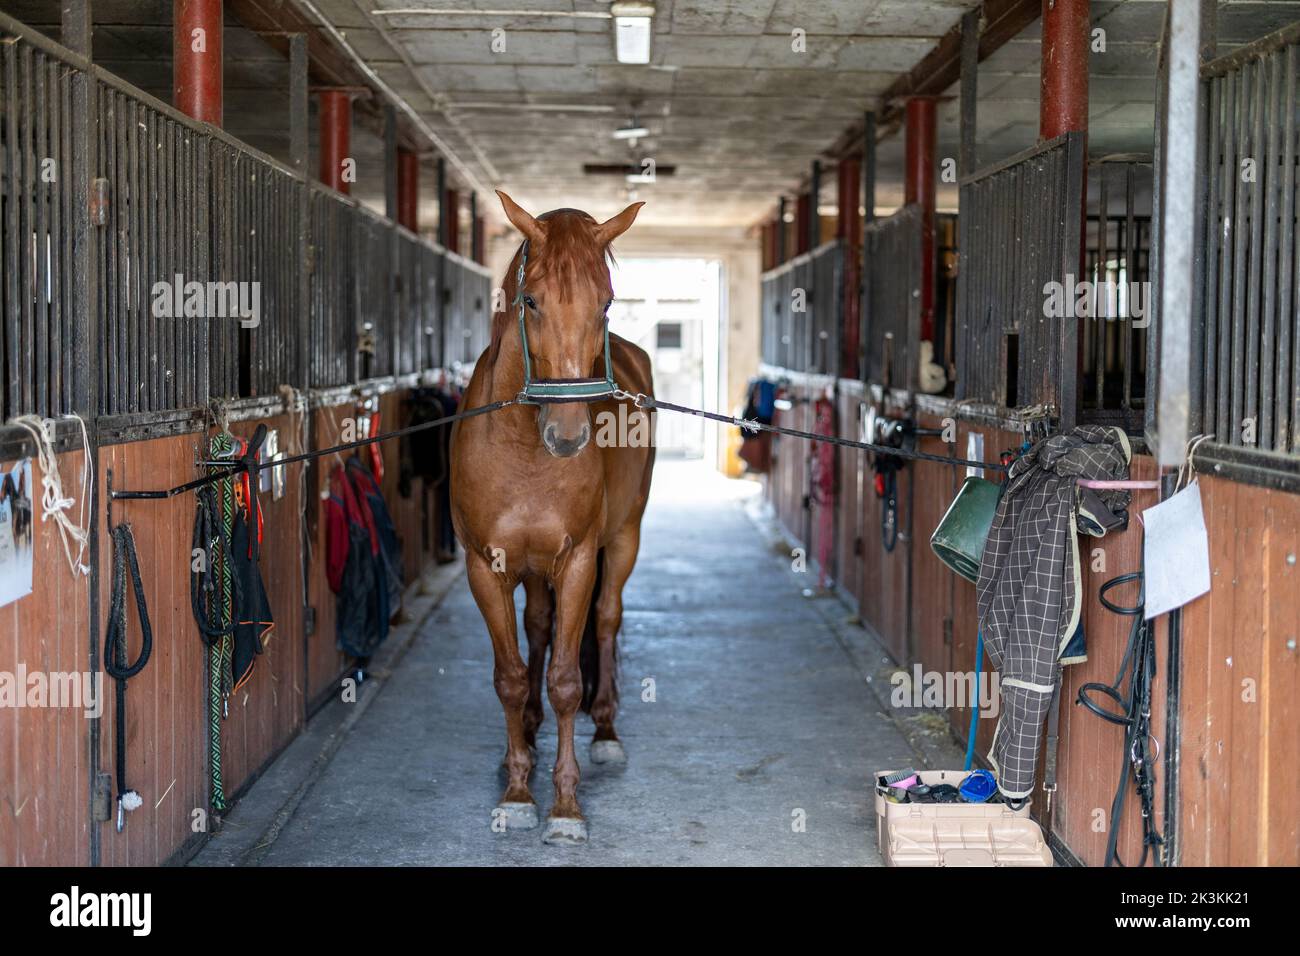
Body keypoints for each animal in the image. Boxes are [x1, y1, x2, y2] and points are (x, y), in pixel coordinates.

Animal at [449, 191, 656, 845]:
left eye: (606, 302)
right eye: (532, 300)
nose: (566, 436)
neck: (523, 450)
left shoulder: (578, 562)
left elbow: (566, 680)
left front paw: (565, 807)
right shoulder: (486, 568)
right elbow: (512, 676)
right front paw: (518, 791)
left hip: (623, 542)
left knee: (608, 621)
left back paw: (606, 732)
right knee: (537, 629)